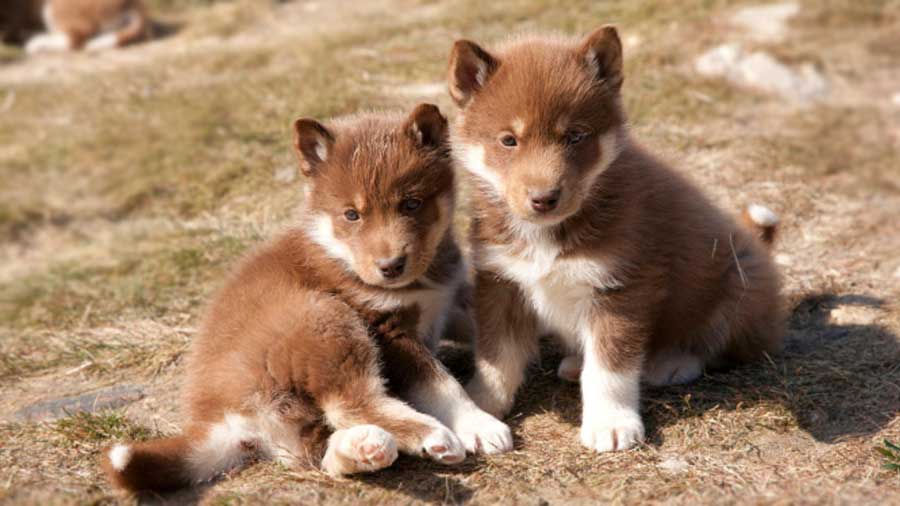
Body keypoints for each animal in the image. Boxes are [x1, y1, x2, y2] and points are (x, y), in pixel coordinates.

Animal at [102, 103, 510, 494]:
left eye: (411, 204)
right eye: (351, 215)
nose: (390, 266)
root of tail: (223, 420)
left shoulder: (449, 300)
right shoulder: (389, 330)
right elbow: (441, 383)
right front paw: (479, 424)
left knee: (323, 451)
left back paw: (365, 448)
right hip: (323, 318)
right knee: (352, 405)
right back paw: (431, 435)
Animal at [448, 25, 780, 452]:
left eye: (575, 136)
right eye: (509, 140)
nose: (544, 198)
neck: (549, 235)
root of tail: (760, 245)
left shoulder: (623, 287)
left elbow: (610, 368)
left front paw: (611, 422)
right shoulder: (500, 281)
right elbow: (496, 356)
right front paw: (480, 407)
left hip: (741, 281)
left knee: (723, 346)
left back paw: (672, 362)